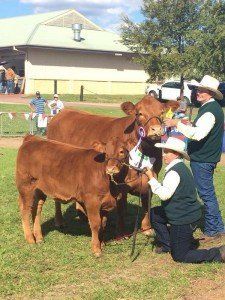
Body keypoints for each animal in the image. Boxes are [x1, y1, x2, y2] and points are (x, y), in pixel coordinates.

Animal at [48, 95, 179, 236]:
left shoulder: (152, 176)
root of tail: (63, 112)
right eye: (139, 113)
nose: (156, 129)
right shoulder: (119, 181)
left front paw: (147, 228)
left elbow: (146, 204)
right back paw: (59, 221)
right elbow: (121, 207)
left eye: (162, 112)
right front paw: (121, 233)